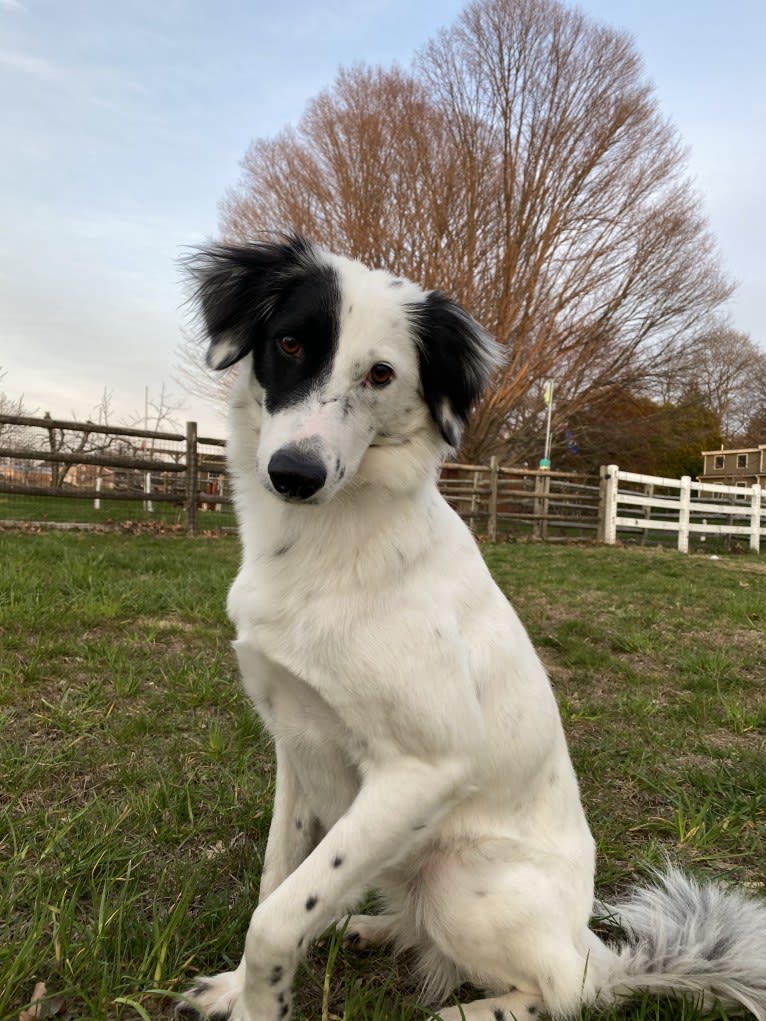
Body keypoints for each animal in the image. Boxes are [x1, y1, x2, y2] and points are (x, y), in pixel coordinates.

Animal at [181, 233, 766, 1021]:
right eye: (291, 342)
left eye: (381, 373)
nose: (294, 474)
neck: (323, 549)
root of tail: (599, 949)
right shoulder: (295, 746)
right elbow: (279, 879)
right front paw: (240, 988)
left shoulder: (423, 769)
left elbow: (275, 917)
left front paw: (261, 1002)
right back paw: (368, 925)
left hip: (459, 876)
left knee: (567, 990)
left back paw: (470, 1009)